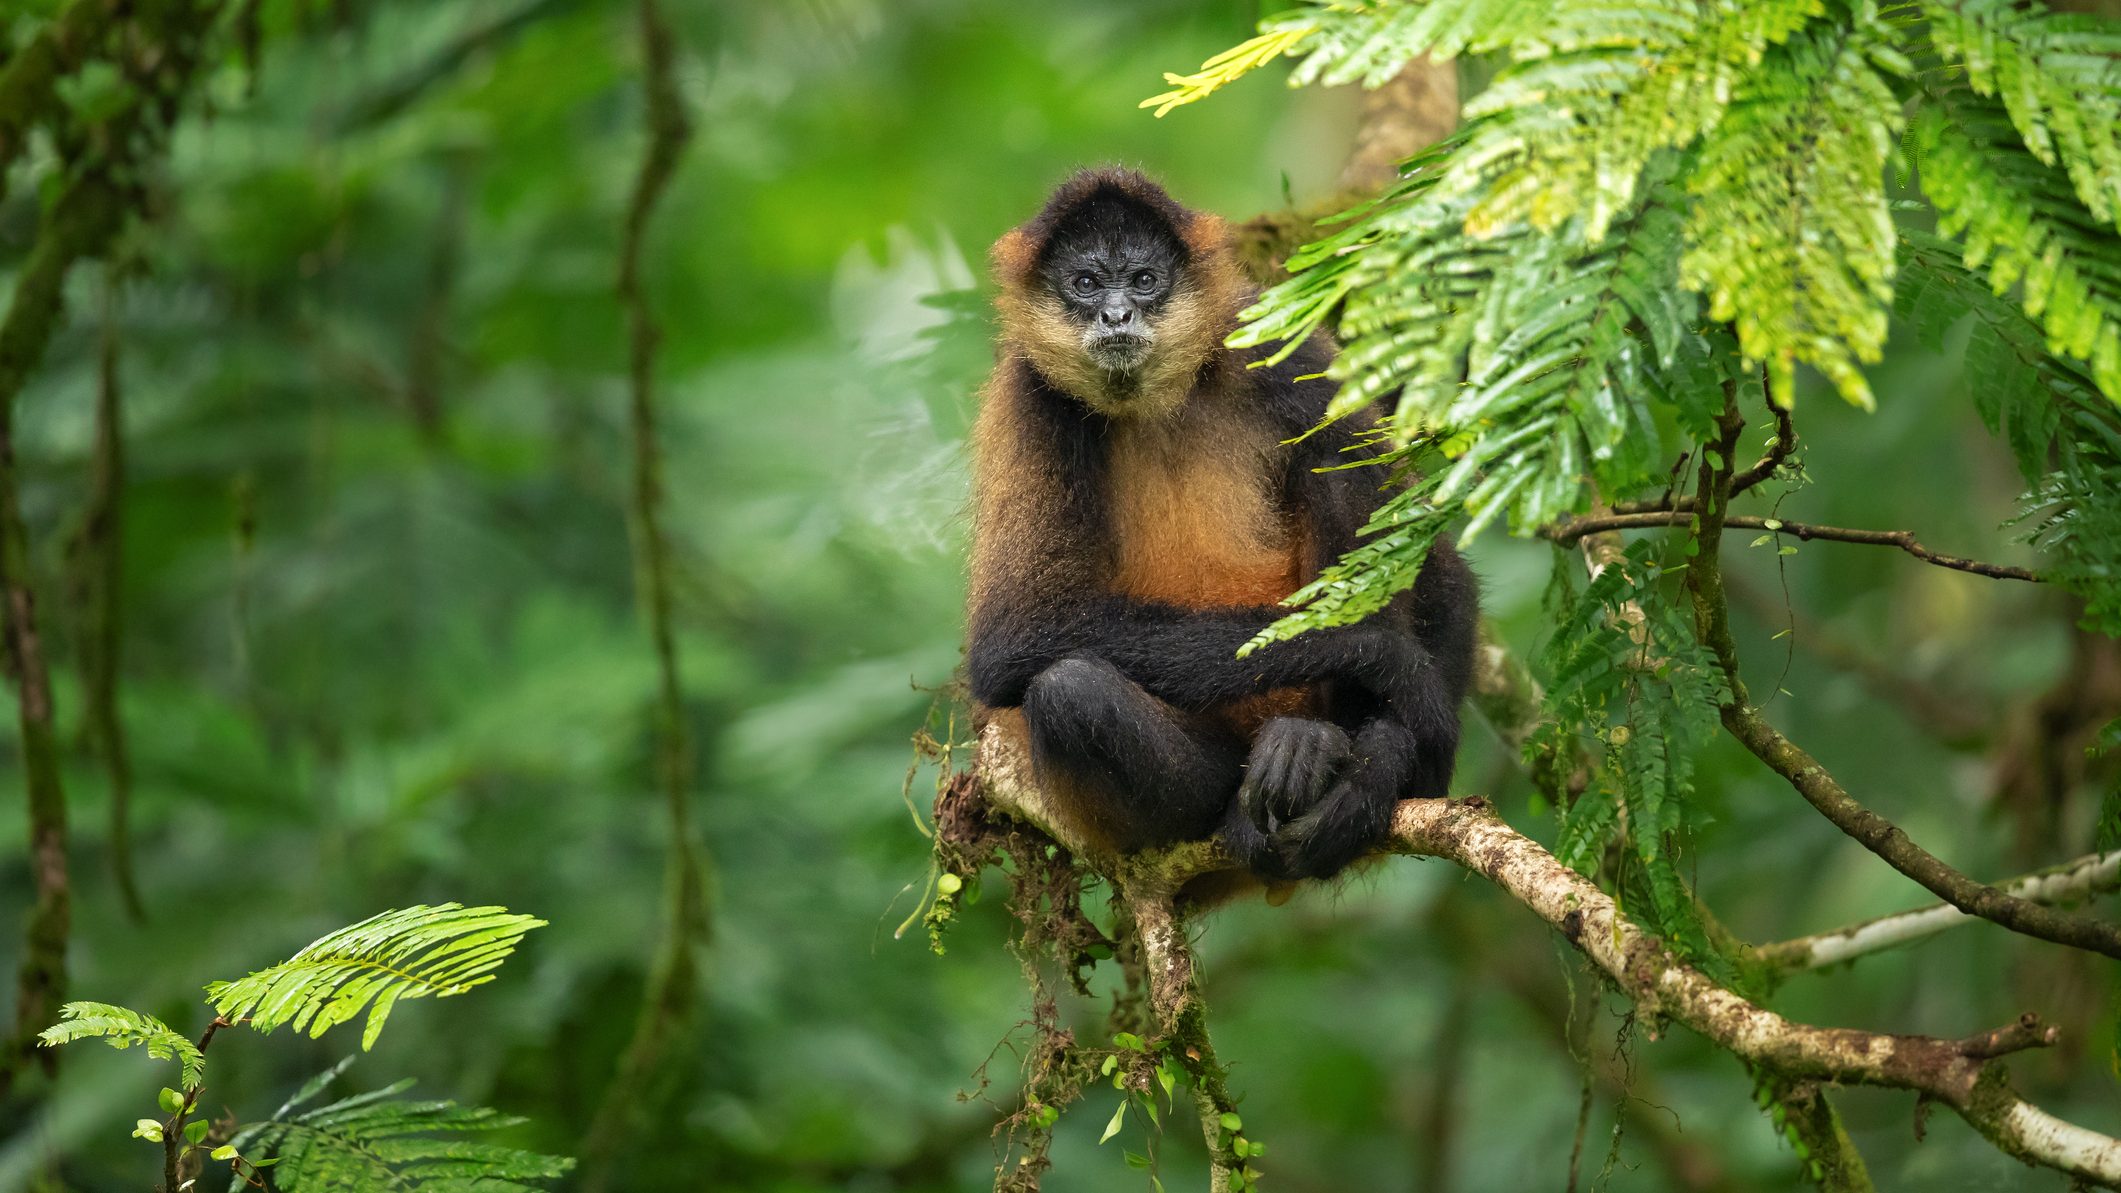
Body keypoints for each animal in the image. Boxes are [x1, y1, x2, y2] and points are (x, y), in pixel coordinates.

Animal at [967, 167, 1476, 883]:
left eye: (1144, 279)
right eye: (1086, 282)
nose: (1116, 314)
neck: (1152, 400)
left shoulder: (1271, 341)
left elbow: (1440, 568)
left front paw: (1389, 762)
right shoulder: (1029, 394)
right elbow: (1014, 638)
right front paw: (1390, 660)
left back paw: (1341, 752)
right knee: (1071, 692)